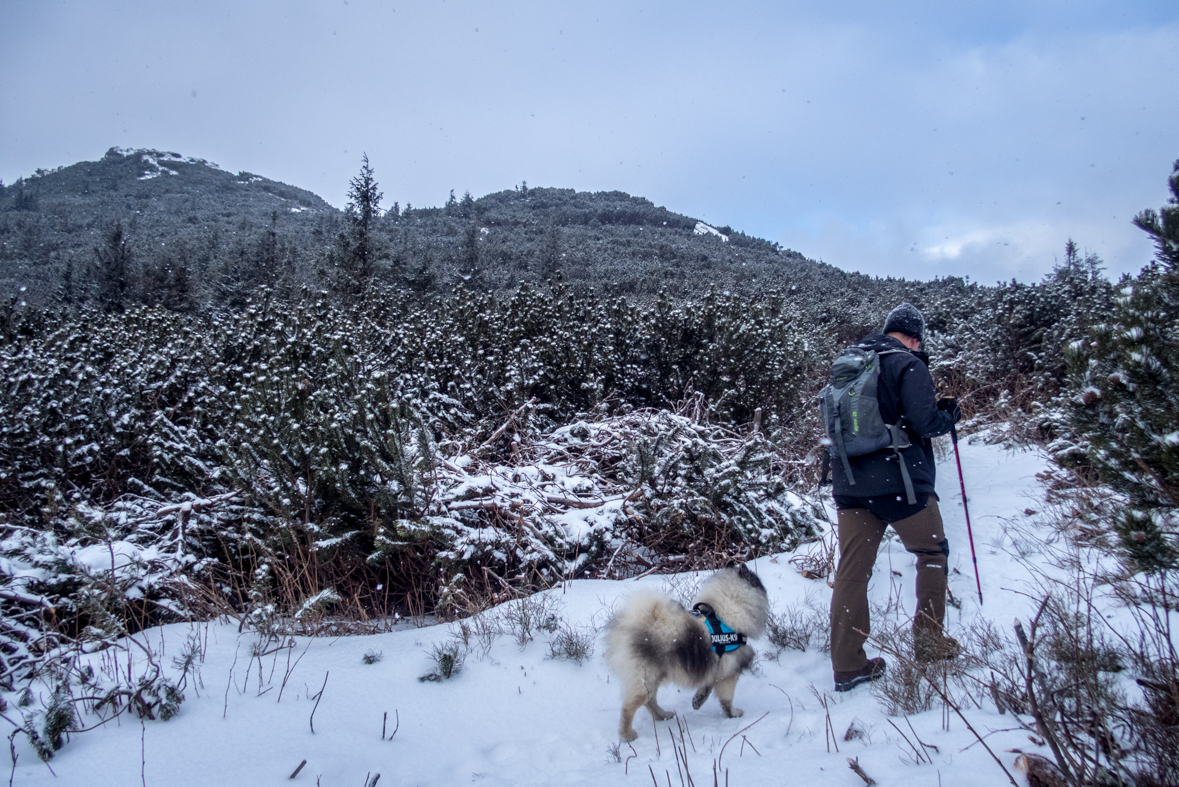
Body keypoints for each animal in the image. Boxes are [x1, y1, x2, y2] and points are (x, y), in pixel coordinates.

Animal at [603, 563, 768, 739]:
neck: (725, 614)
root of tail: (629, 624)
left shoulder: (715, 668)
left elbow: (706, 688)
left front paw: (698, 701)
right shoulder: (730, 671)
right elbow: (727, 699)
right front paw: (733, 714)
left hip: (653, 676)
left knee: (650, 701)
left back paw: (662, 715)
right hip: (645, 677)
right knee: (629, 707)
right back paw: (627, 735)